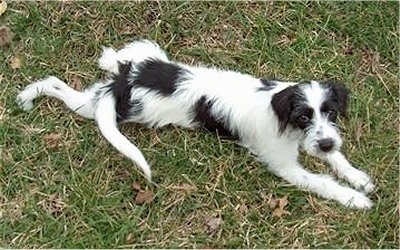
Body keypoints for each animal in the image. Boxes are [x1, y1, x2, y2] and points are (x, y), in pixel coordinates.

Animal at [16, 40, 376, 210]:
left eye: (331, 112)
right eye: (303, 116)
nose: (325, 142)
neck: (282, 118)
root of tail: (123, 82)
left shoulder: (319, 140)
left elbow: (336, 158)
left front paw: (357, 177)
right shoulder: (286, 166)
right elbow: (322, 182)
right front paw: (353, 199)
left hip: (147, 57)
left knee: (118, 57)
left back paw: (106, 58)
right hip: (105, 109)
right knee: (60, 87)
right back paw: (29, 95)